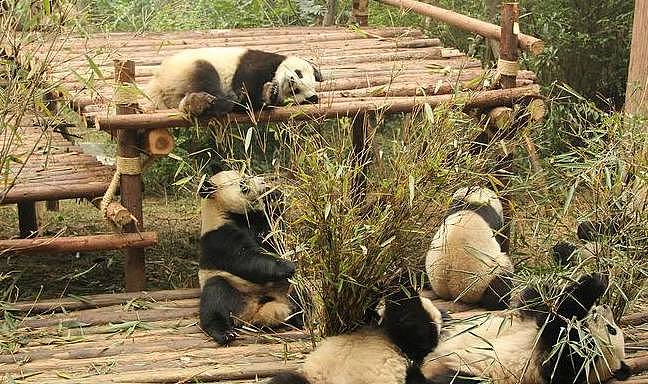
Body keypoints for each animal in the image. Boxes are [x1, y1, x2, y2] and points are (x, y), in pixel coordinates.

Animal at [144, 47, 322, 115]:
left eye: (296, 91)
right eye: (299, 74)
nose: (291, 80)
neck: (274, 77)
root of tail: (158, 85)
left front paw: (269, 94)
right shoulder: (258, 61)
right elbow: (246, 81)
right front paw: (263, 94)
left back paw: (195, 103)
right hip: (184, 68)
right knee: (206, 75)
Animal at [197, 170, 304, 344]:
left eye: (246, 174)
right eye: (243, 185)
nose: (263, 182)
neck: (220, 210)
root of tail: (254, 314)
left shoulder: (255, 223)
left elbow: (273, 236)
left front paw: (273, 196)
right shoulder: (219, 238)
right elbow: (246, 259)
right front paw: (287, 265)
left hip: (283, 289)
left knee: (299, 291)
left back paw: (301, 316)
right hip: (234, 292)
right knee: (215, 295)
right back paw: (224, 333)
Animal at [418, 272, 632, 384]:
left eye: (612, 330)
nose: (605, 307)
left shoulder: (570, 363)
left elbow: (559, 331)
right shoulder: (527, 316)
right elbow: (535, 300)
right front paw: (595, 280)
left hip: (473, 374)